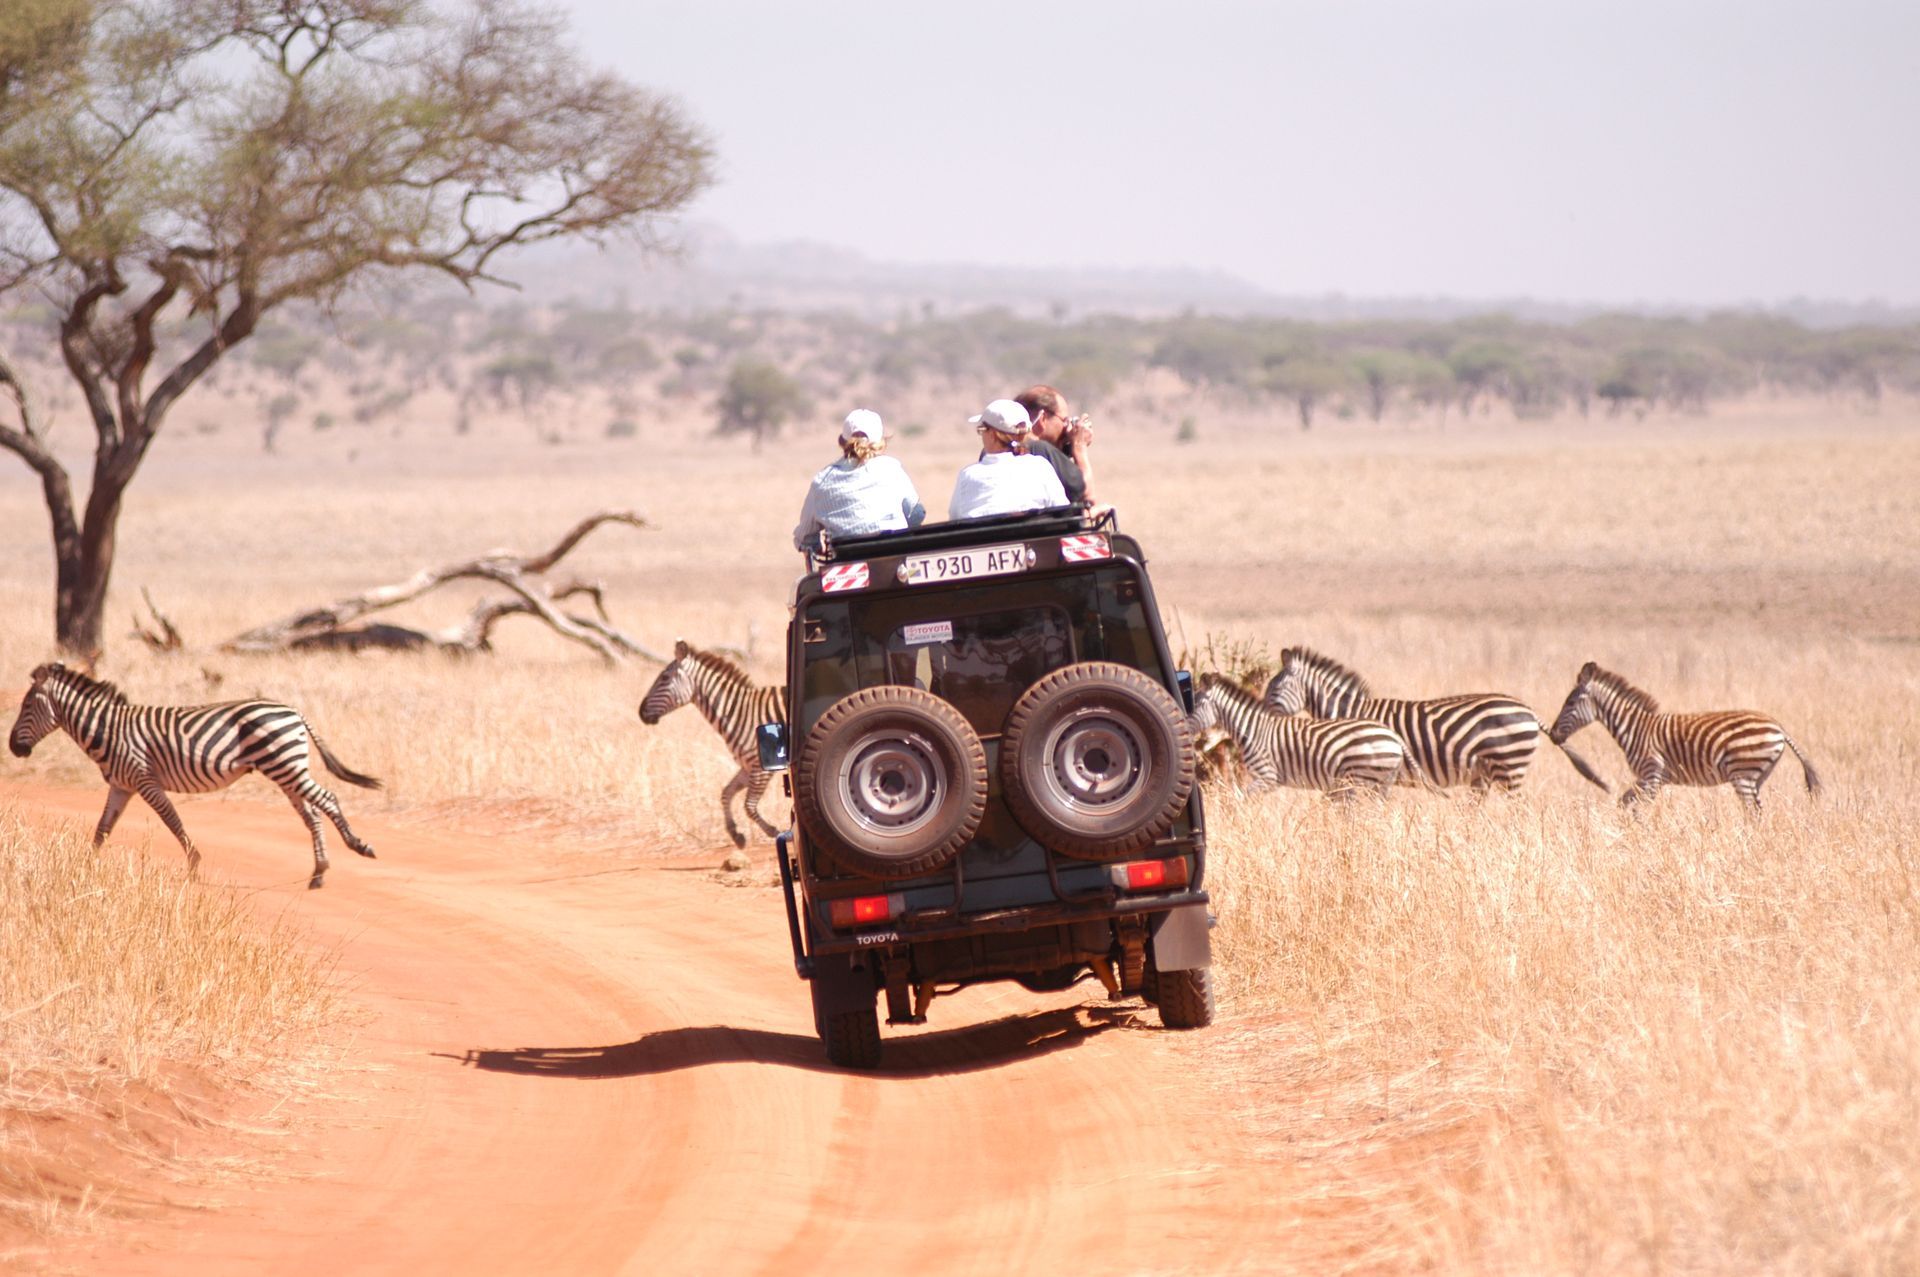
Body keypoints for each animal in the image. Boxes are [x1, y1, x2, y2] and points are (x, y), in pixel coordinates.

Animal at [9, 663, 379, 888]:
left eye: (26, 706)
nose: (13, 747)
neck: (108, 730)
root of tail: (294, 711)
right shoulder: (122, 786)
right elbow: (103, 829)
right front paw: (84, 868)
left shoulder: (143, 777)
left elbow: (172, 820)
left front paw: (194, 865)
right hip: (286, 768)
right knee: (312, 814)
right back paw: (318, 873)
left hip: (284, 764)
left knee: (327, 798)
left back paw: (359, 846)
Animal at [638, 640, 788, 848]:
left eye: (664, 678)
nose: (641, 712)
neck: (740, 713)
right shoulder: (748, 766)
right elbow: (726, 793)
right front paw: (735, 834)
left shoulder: (761, 769)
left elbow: (749, 806)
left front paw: (774, 831)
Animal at [1189, 673, 1412, 798]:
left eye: (1196, 704)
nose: (1198, 739)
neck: (1252, 729)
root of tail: (1393, 736)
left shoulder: (1267, 776)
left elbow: (1241, 799)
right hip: (1381, 782)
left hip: (1360, 779)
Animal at [1262, 647, 1611, 795]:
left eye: (1274, 689)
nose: (1260, 715)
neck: (1350, 712)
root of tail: (1526, 709)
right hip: (1489, 772)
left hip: (1511, 765)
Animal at [1549, 662, 1821, 813]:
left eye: (1570, 703)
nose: (1552, 735)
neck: (1635, 728)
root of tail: (1779, 727)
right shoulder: (1649, 779)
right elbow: (1623, 802)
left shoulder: (1652, 776)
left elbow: (1637, 808)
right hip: (1757, 776)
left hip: (1742, 774)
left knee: (1753, 813)